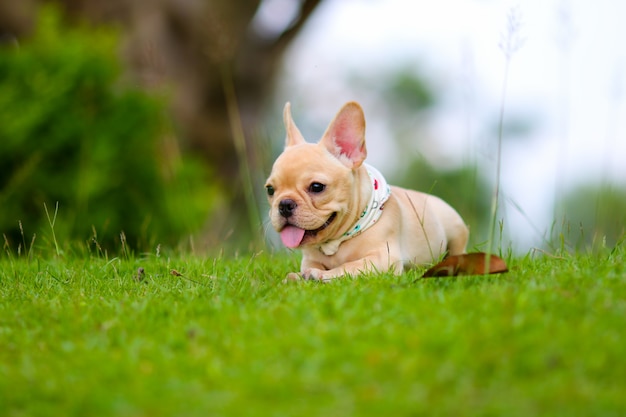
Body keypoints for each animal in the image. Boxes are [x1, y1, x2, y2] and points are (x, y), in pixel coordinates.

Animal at [264, 102, 468, 282]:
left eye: (316, 187)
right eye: (270, 190)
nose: (284, 204)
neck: (337, 242)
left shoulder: (383, 258)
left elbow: (349, 266)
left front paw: (320, 275)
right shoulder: (310, 259)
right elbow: (310, 267)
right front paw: (300, 276)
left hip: (454, 225)